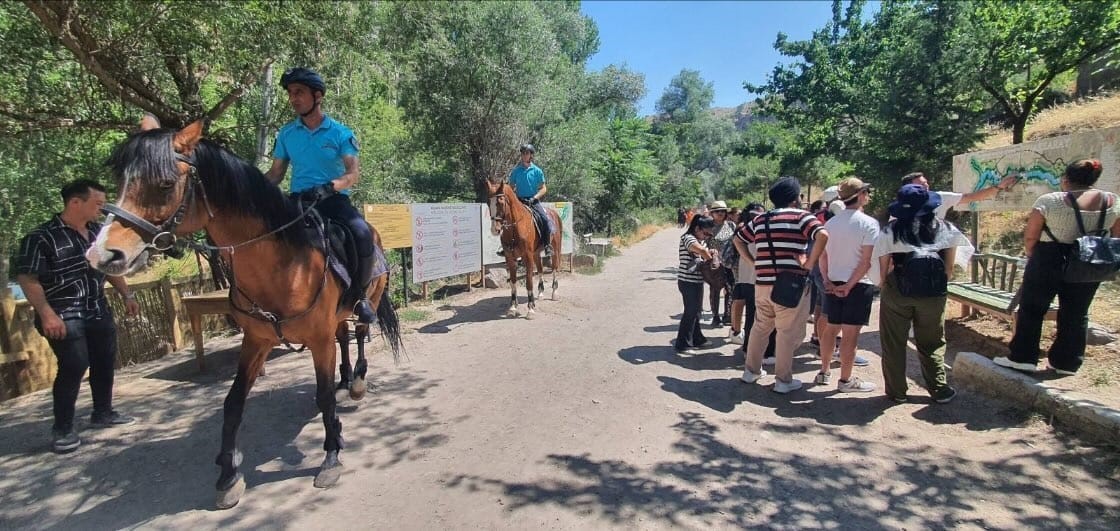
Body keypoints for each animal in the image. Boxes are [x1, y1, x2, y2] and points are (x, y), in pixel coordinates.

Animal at [87, 117, 403, 510]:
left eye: (164, 184)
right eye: (121, 181)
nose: (102, 254)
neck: (284, 262)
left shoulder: (316, 339)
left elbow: (323, 396)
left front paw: (331, 456)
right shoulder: (257, 340)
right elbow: (233, 403)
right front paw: (228, 475)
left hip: (368, 300)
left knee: (359, 332)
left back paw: (356, 382)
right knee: (343, 336)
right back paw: (345, 379)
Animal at [488, 180, 564, 318]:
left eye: (500, 202)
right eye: (488, 202)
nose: (495, 230)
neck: (515, 228)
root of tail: (553, 213)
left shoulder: (527, 257)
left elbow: (529, 281)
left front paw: (530, 309)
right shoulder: (510, 258)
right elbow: (513, 282)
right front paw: (513, 307)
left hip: (555, 249)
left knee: (555, 268)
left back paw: (554, 293)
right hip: (536, 253)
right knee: (540, 270)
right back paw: (540, 293)